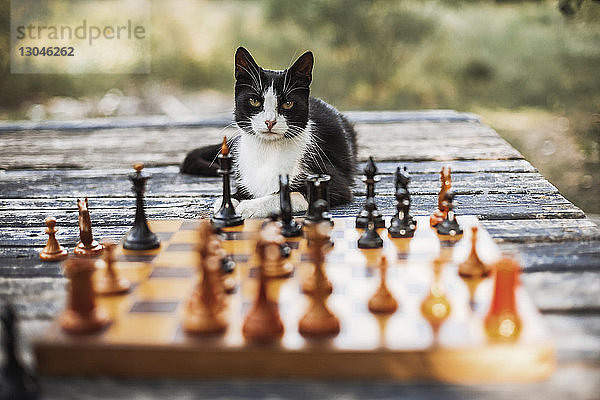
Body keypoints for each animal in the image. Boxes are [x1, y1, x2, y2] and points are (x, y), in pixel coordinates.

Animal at [178, 48, 356, 220]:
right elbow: (237, 194)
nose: (270, 122)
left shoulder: (331, 180)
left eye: (288, 103)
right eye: (254, 101)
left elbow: (292, 194)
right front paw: (226, 203)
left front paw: (250, 206)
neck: (267, 151)